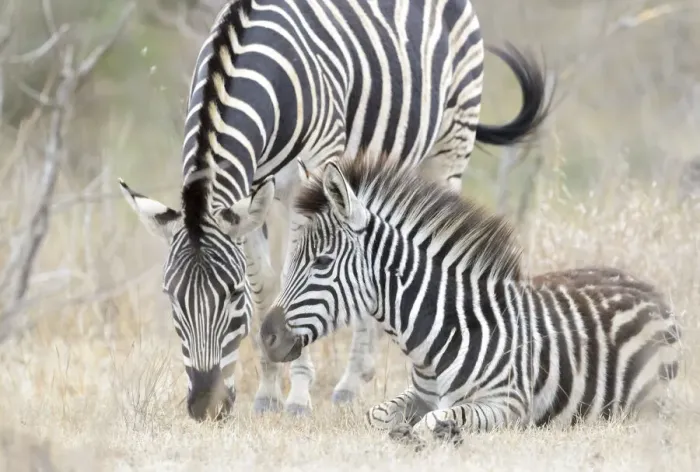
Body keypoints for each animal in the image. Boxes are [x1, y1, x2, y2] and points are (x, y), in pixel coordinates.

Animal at [117, 0, 551, 421]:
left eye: (232, 295)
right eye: (170, 296)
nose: (205, 407)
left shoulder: (309, 173)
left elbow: (293, 274)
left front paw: (298, 396)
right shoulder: (253, 191)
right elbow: (268, 286)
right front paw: (269, 392)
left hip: (452, 140)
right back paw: (352, 381)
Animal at [258, 152, 682, 446]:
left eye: (321, 262)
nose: (266, 336)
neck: (440, 336)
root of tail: (647, 286)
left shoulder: (509, 404)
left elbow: (433, 422)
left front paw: (429, 433)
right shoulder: (421, 394)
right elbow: (375, 415)